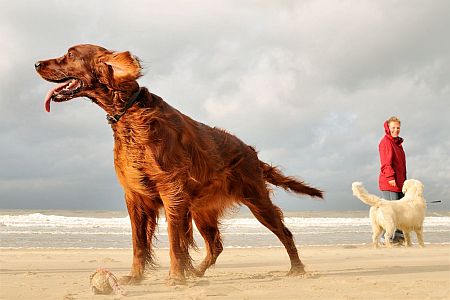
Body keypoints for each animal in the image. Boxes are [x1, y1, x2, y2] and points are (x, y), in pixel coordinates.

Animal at [36, 44, 324, 284]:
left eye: (70, 54)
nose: (36, 63)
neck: (129, 113)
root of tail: (251, 151)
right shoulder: (135, 197)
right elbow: (139, 244)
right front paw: (136, 277)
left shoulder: (171, 191)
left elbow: (176, 242)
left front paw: (176, 277)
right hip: (201, 211)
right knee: (216, 245)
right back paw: (196, 272)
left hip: (257, 201)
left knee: (284, 233)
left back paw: (296, 269)